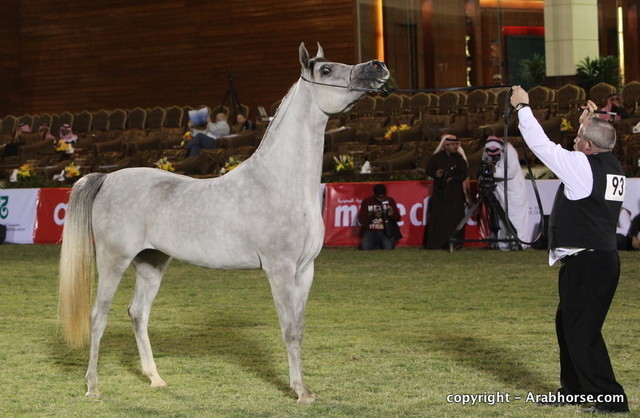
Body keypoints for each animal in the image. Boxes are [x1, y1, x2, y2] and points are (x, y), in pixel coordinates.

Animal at [58, 42, 389, 403]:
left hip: (152, 261)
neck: (279, 182)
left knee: (138, 313)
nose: (377, 67)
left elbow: (299, 329)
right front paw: (300, 392)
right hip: (113, 259)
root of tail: (107, 178)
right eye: (326, 70)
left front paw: (303, 388)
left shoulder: (305, 270)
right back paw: (92, 386)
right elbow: (288, 329)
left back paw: (155, 378)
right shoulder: (280, 269)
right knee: (98, 315)